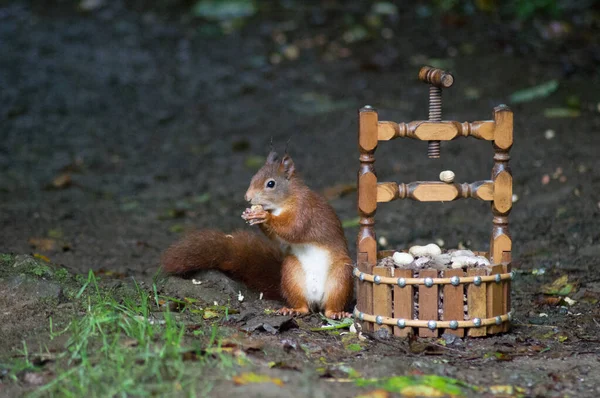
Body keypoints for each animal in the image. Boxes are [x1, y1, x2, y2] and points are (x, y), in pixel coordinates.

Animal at [162, 151, 354, 318]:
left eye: (271, 184)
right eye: (253, 178)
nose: (247, 198)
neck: (284, 202)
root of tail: (316, 299)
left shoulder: (305, 210)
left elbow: (294, 229)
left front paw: (264, 216)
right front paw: (251, 214)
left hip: (340, 278)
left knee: (331, 306)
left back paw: (336, 313)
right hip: (292, 273)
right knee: (304, 306)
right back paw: (294, 309)